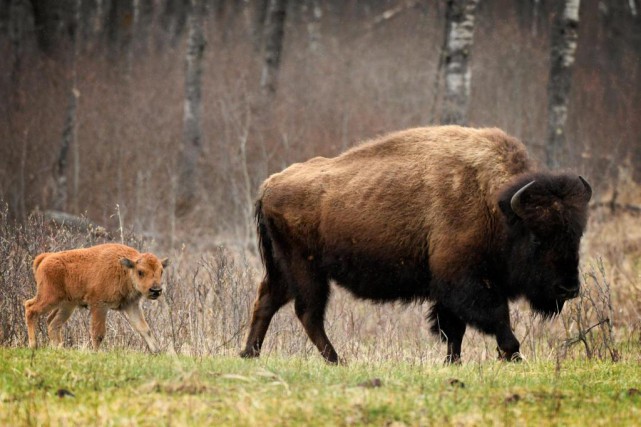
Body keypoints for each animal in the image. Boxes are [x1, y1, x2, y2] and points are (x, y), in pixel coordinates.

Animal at [26, 242, 169, 352]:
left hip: (67, 305)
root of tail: (46, 257)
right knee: (30, 308)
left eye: (161, 271)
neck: (124, 270)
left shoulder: (131, 305)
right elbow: (98, 333)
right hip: (49, 297)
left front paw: (157, 351)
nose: (156, 290)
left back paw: (59, 349)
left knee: (53, 323)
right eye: (140, 272)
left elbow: (144, 329)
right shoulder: (99, 306)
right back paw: (33, 345)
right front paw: (96, 352)